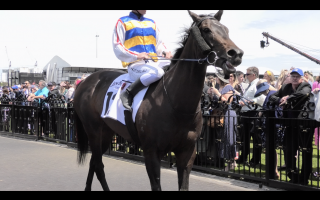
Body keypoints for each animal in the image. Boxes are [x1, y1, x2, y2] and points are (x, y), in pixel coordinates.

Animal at [74, 10, 242, 191]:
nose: (236, 53)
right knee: (98, 165)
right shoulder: (151, 152)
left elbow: (183, 185)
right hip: (93, 130)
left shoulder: (187, 152)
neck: (177, 105)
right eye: (206, 29)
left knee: (94, 163)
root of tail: (85, 81)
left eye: (226, 29)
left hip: (106, 132)